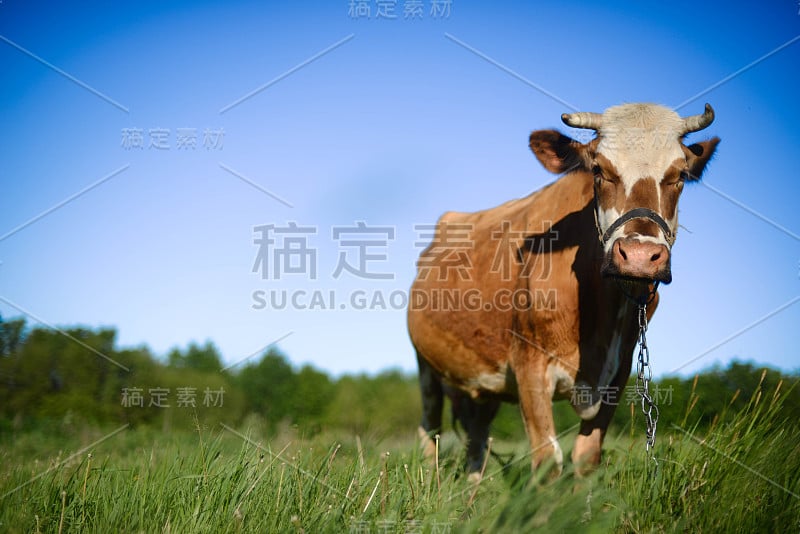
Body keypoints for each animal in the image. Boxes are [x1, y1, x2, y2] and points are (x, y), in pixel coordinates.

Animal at [406, 102, 720, 480]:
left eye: (679, 175)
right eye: (599, 170)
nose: (640, 256)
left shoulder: (619, 370)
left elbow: (586, 457)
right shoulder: (528, 363)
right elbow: (547, 461)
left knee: (477, 439)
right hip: (425, 365)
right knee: (429, 430)